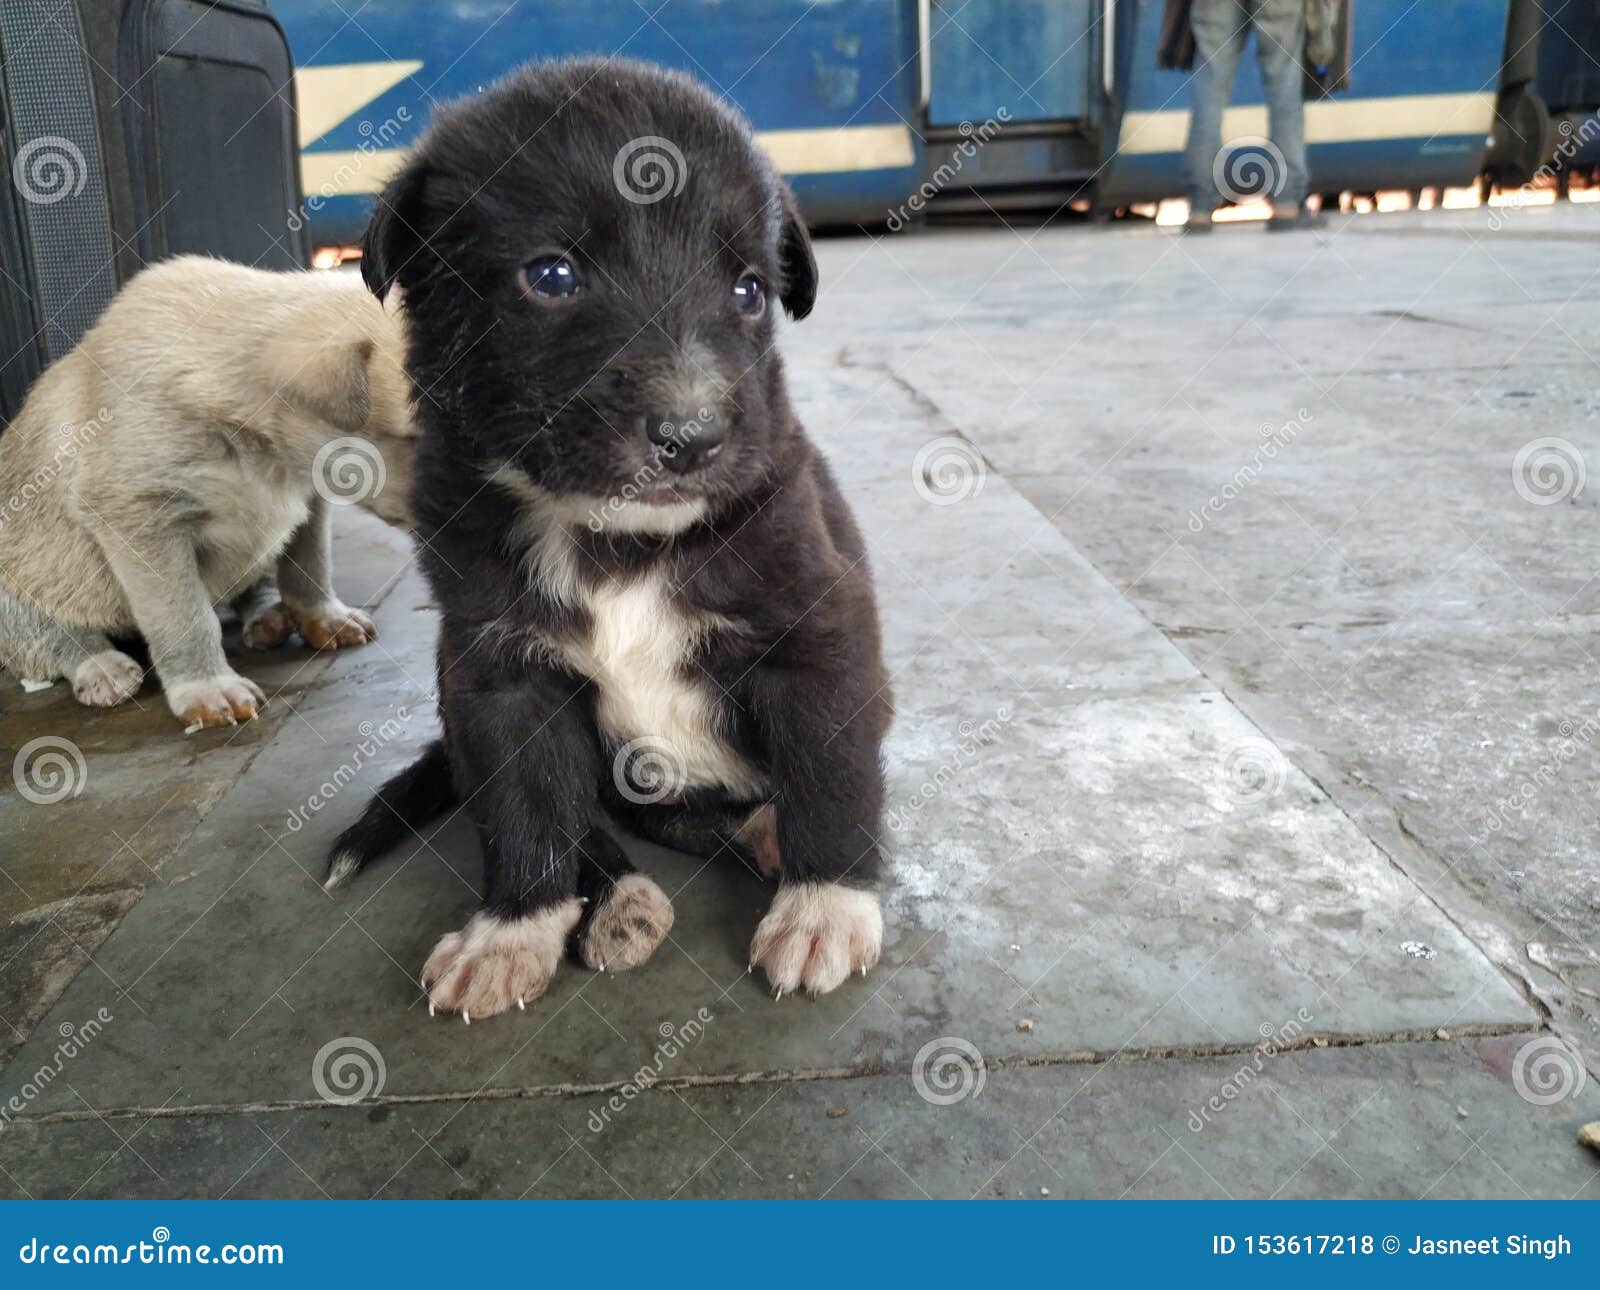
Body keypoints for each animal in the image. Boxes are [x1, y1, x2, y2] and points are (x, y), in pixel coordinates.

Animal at [0, 257, 419, 733]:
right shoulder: (142, 520)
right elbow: (183, 615)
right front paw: (208, 689)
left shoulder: (310, 497)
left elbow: (310, 563)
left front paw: (324, 616)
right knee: (52, 635)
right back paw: (101, 666)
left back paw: (269, 616)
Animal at [326, 60, 896, 1024]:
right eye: (552, 274)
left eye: (748, 289)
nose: (692, 437)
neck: (616, 538)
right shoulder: (496, 671)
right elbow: (525, 806)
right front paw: (513, 927)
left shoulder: (818, 626)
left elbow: (831, 770)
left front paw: (825, 905)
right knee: (601, 815)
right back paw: (619, 896)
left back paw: (766, 837)